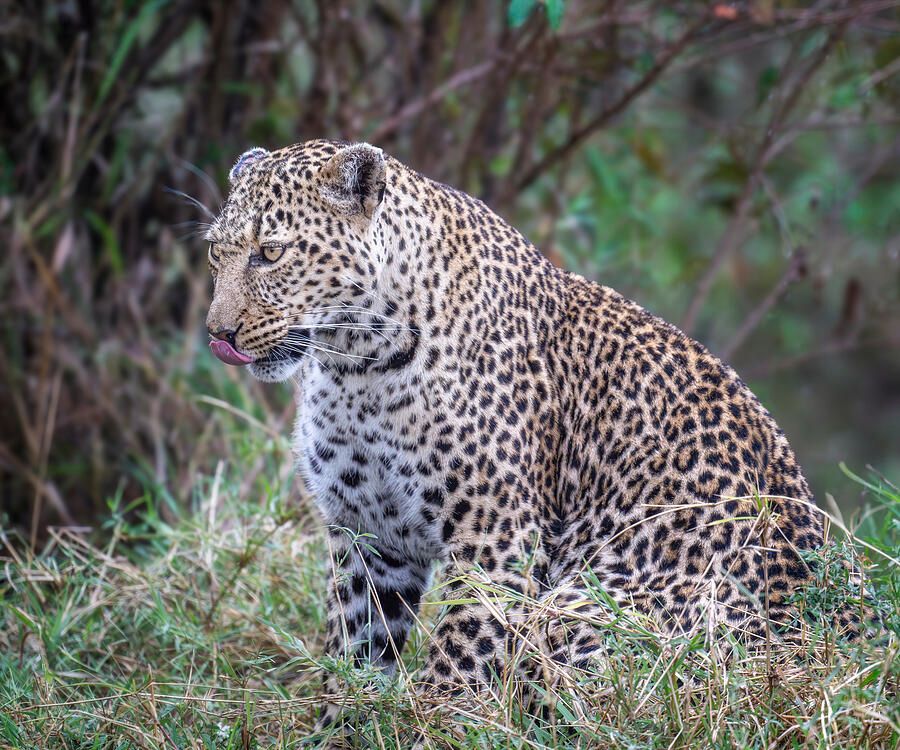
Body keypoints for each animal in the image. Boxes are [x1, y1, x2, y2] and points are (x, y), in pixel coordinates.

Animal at [204, 139, 850, 728]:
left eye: (271, 252)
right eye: (216, 252)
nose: (218, 333)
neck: (355, 366)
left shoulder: (495, 537)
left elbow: (459, 657)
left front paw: (435, 728)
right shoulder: (368, 532)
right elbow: (354, 649)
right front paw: (339, 728)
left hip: (588, 609)